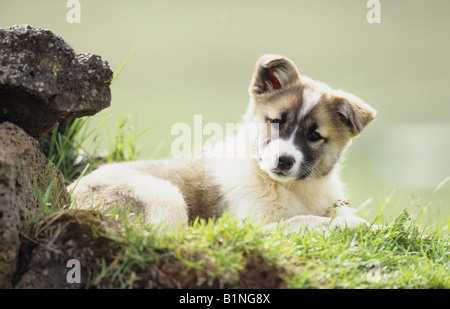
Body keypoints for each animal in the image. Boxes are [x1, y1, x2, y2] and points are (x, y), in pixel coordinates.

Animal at [69, 53, 376, 231]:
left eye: (314, 135)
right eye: (276, 121)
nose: (284, 160)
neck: (294, 189)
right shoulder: (250, 228)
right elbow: (304, 221)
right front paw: (359, 225)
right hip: (163, 195)